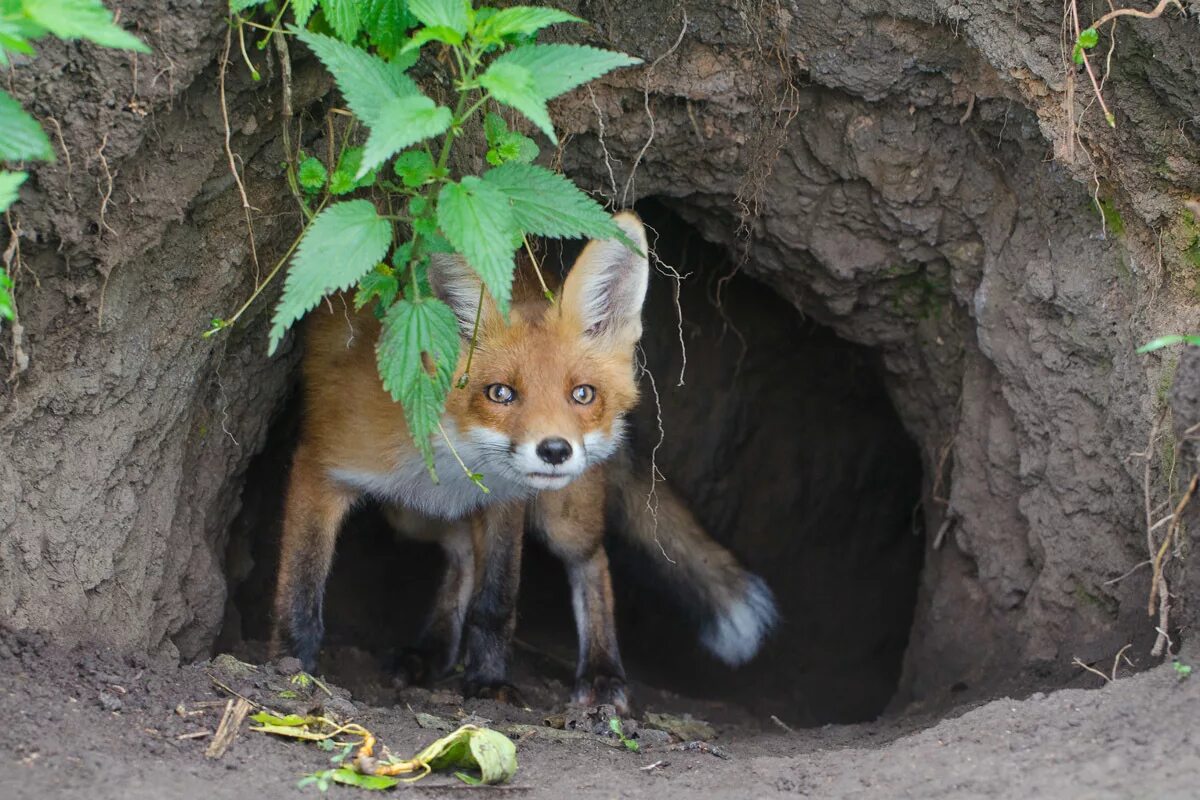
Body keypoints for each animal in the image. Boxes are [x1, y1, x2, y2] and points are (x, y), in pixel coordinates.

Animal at [272, 212, 777, 714]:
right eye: (500, 393)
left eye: (582, 394)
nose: (555, 450)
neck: (452, 458)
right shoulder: (321, 467)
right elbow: (300, 586)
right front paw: (292, 668)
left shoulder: (507, 500)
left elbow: (497, 601)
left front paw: (489, 683)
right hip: (409, 514)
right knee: (461, 552)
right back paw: (430, 653)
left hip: (562, 515)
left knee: (592, 560)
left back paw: (602, 674)